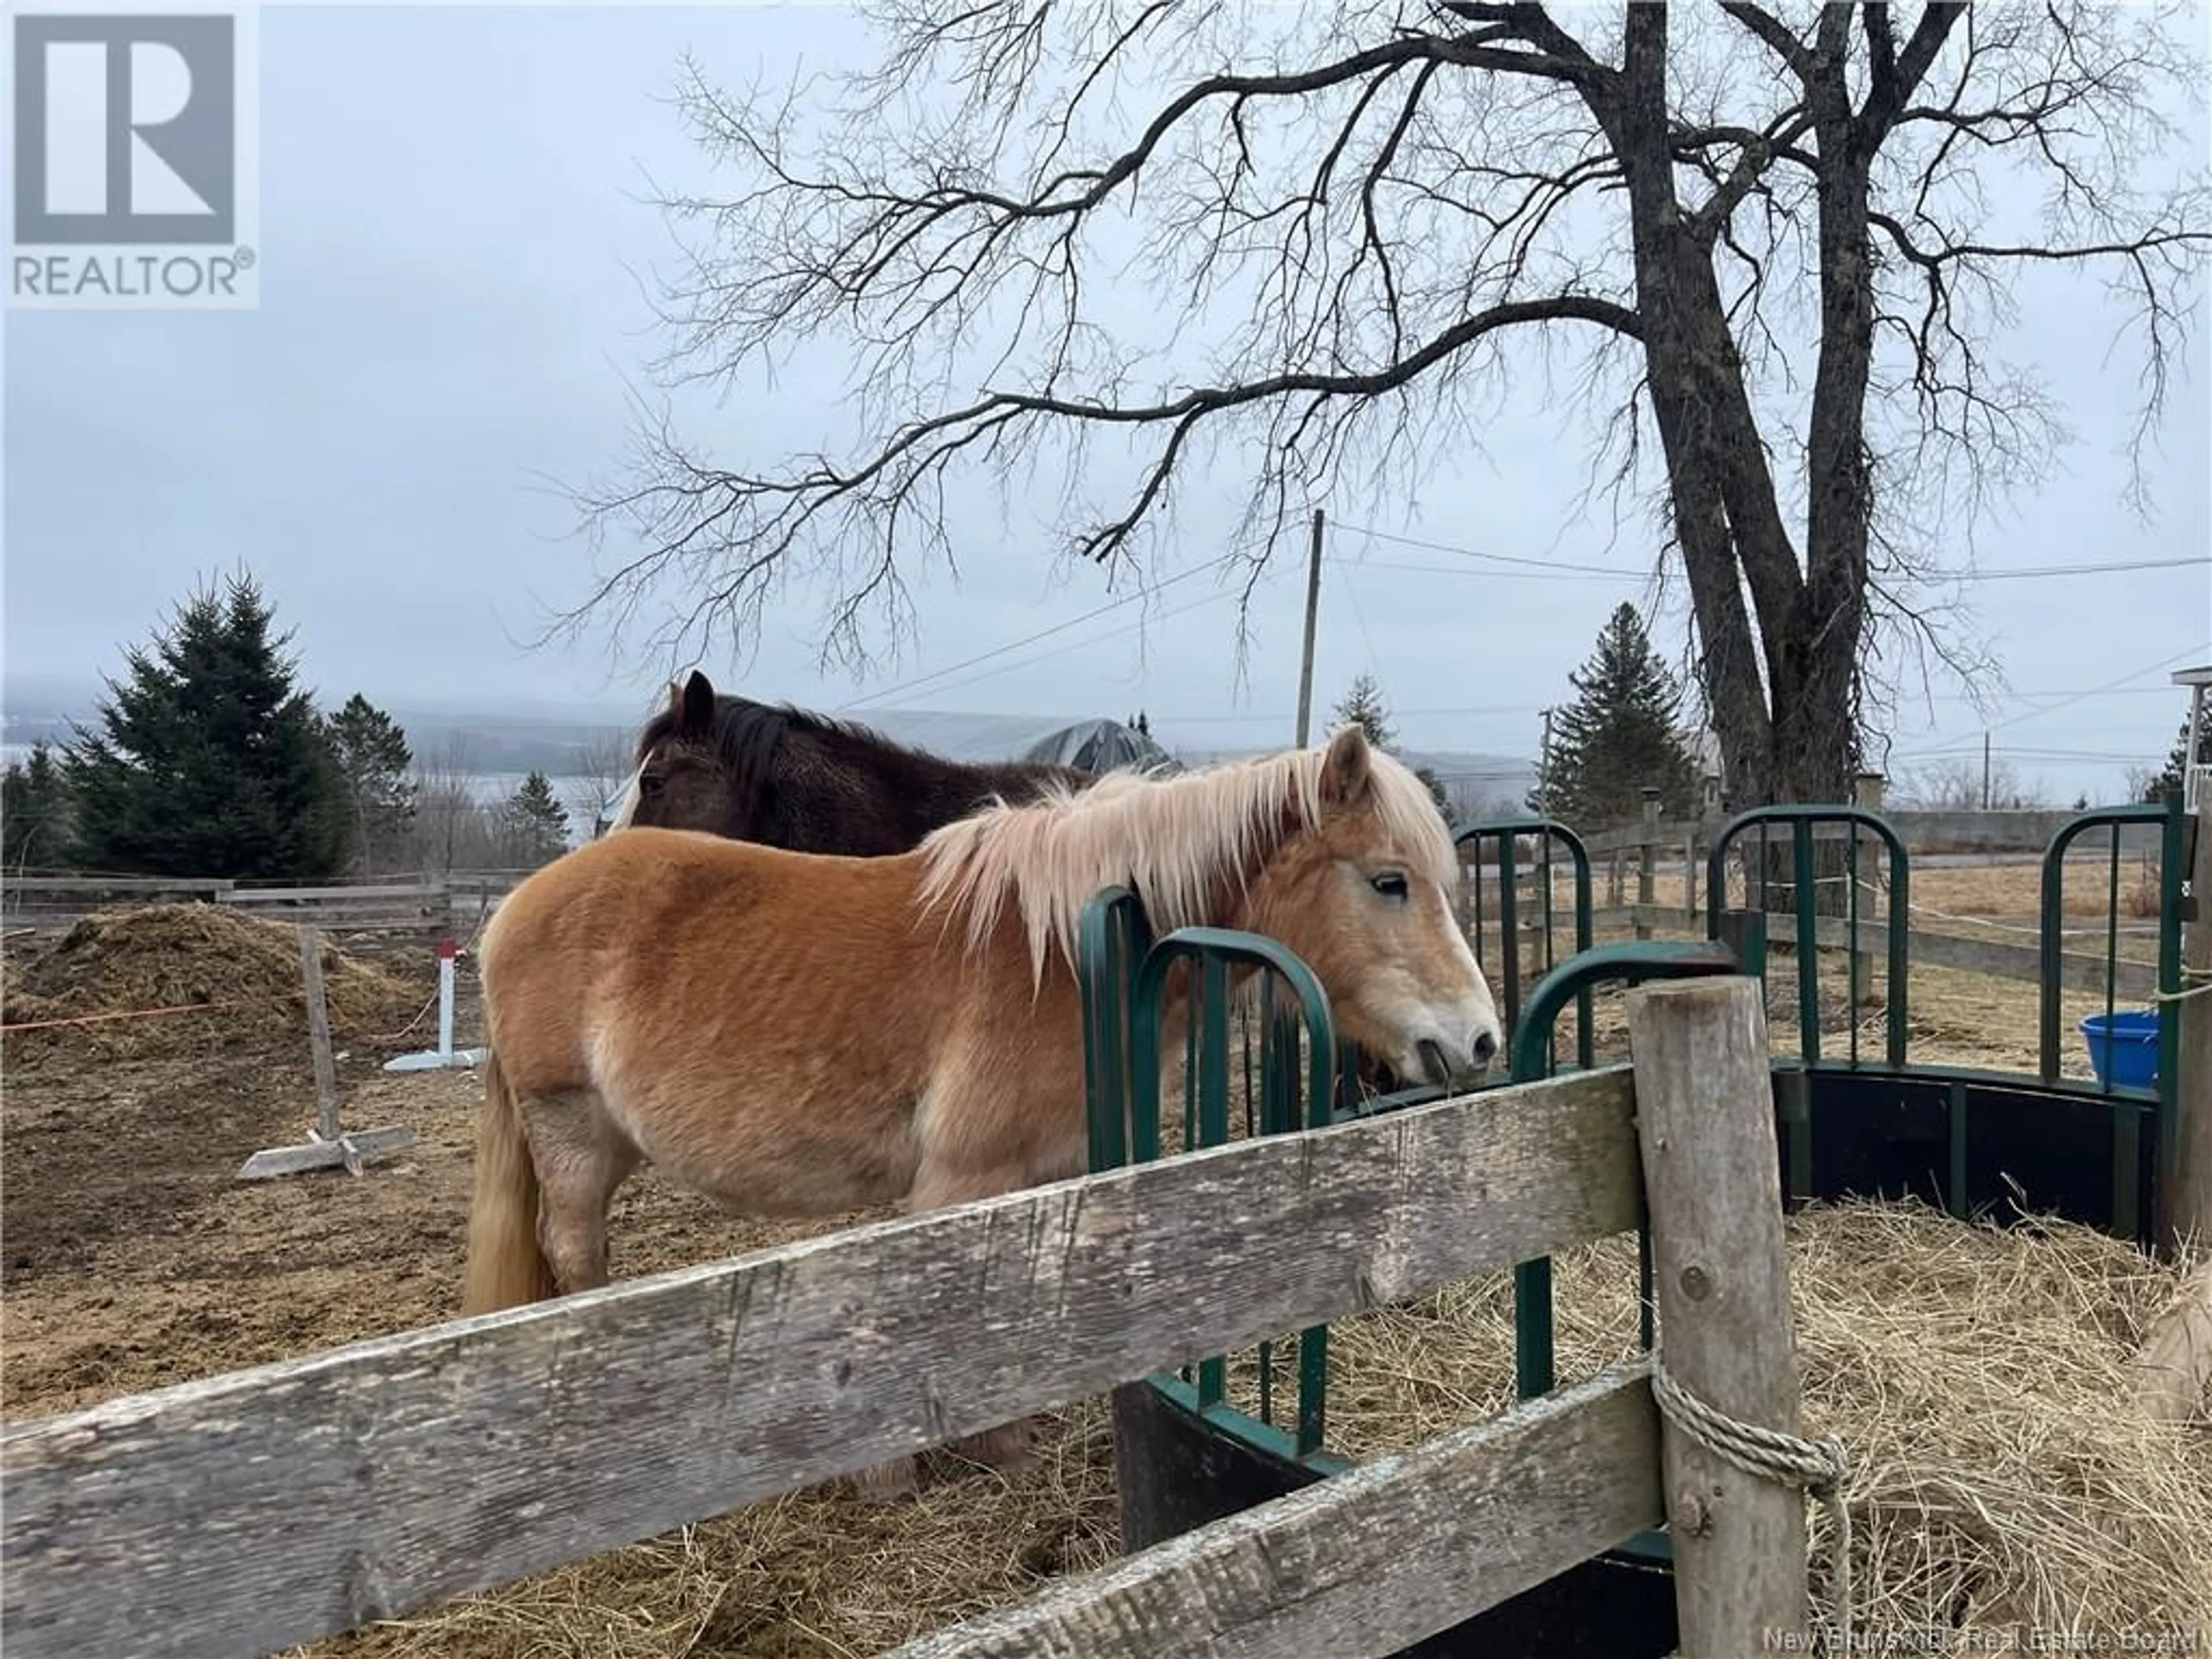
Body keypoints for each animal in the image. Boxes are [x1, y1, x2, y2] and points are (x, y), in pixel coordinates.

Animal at [464, 721, 1504, 1504]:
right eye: (1389, 881)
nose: (1482, 1041)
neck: (1056, 955)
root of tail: (513, 907)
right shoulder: (961, 1181)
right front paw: (916, 1467)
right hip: (570, 1136)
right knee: (576, 1255)